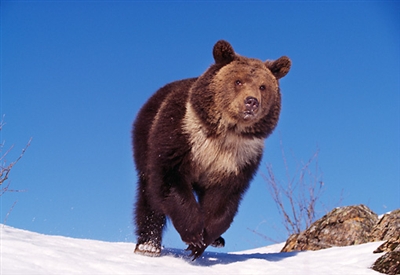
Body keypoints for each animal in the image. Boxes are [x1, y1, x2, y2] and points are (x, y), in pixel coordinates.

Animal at [131, 39, 290, 260]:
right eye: (238, 81)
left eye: (263, 86)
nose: (251, 101)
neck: (224, 133)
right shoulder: (181, 135)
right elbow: (170, 178)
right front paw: (193, 233)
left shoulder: (239, 159)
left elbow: (223, 199)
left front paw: (202, 242)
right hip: (144, 138)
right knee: (149, 193)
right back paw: (148, 245)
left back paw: (218, 241)